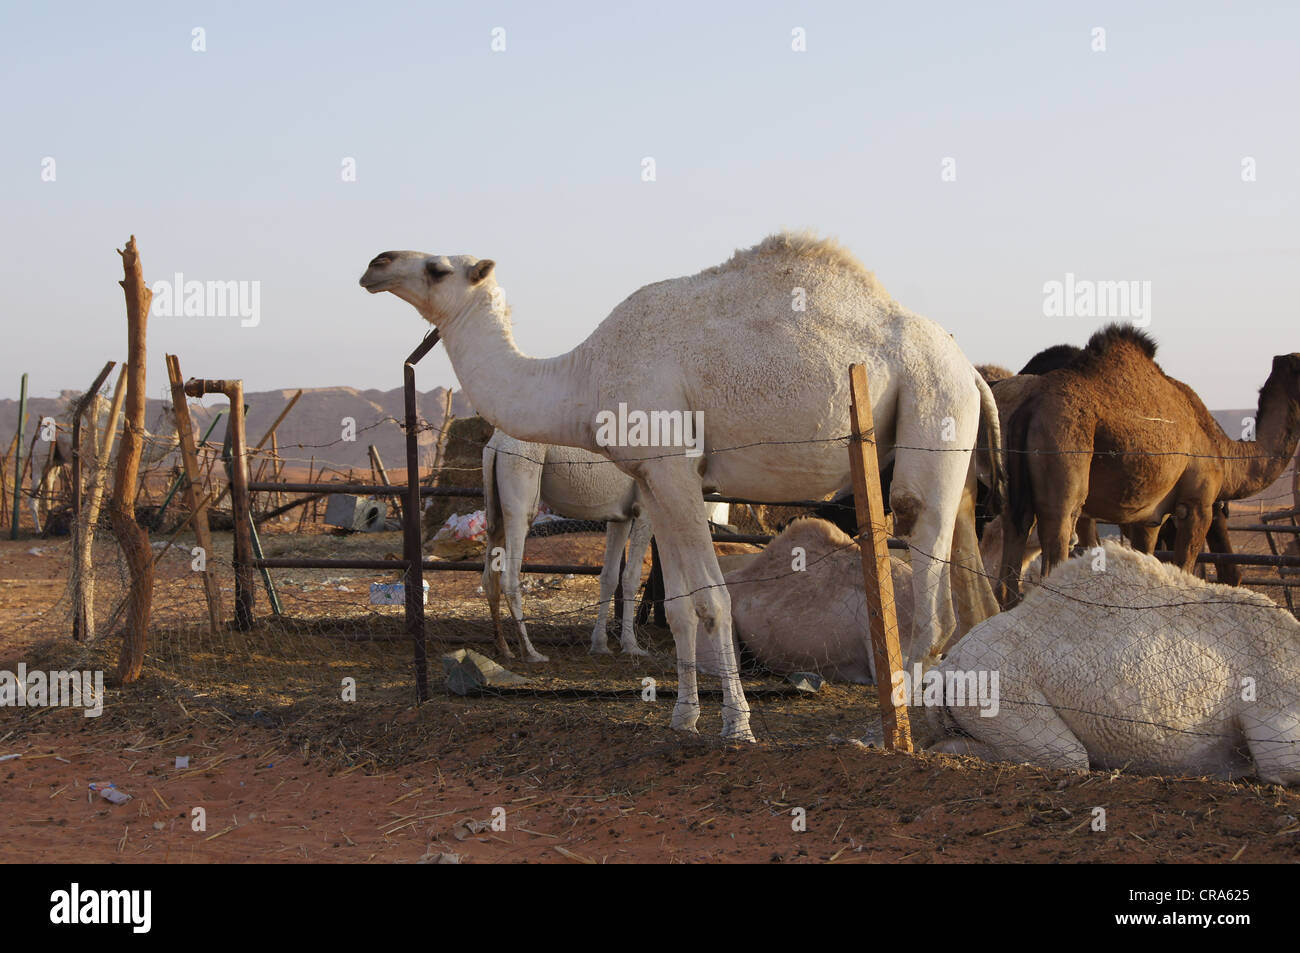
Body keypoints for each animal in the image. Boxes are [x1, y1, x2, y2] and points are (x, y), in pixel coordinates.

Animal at [361, 230, 998, 743]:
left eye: (438, 268)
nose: (375, 263)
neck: (583, 376)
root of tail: (971, 372)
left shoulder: (675, 468)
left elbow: (714, 600)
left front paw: (737, 725)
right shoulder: (651, 480)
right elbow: (676, 606)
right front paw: (683, 717)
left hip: (932, 410)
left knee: (929, 574)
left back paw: (893, 728)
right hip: (953, 450)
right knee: (965, 574)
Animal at [998, 325, 1294, 603]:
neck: (1221, 449)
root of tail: (1031, 406)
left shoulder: (1149, 520)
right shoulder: (1197, 504)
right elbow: (1184, 567)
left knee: (1014, 535)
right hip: (1065, 452)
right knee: (1059, 528)